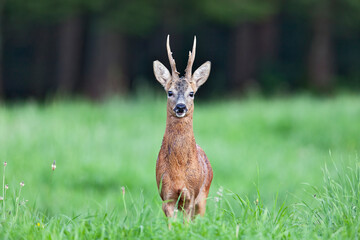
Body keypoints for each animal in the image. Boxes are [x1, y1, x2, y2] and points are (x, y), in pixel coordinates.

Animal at [153, 34, 214, 220]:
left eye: (191, 93)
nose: (181, 107)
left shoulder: (190, 197)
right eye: (169, 92)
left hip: (203, 196)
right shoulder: (166, 195)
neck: (179, 173)